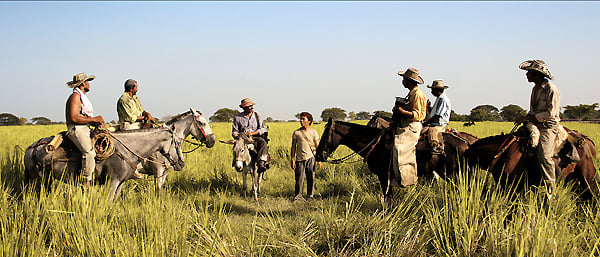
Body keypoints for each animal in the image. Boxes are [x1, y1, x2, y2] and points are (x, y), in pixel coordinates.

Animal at [314, 118, 478, 204]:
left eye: (325, 135)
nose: (318, 156)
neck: (376, 144)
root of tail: (466, 143)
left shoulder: (383, 176)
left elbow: (387, 198)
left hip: (455, 174)